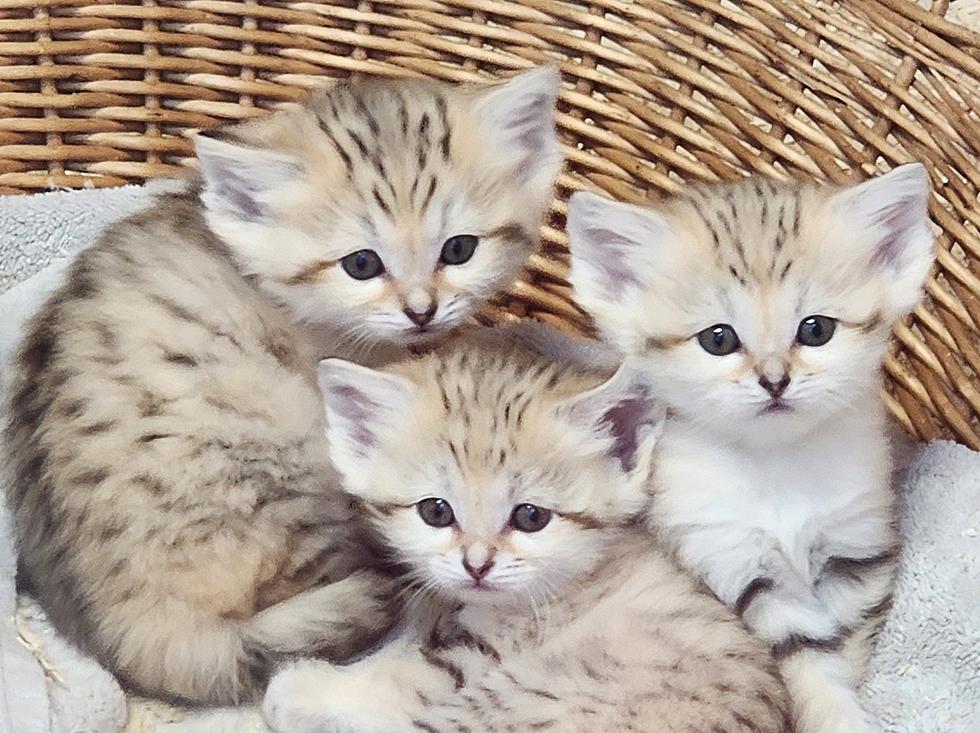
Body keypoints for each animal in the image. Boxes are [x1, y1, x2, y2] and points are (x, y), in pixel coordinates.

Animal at [258, 346, 788, 732]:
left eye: (531, 517)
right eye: (436, 511)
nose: (476, 565)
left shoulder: (474, 660)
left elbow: (407, 677)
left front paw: (305, 689)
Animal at [568, 166, 936, 732]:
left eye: (816, 329)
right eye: (718, 339)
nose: (775, 380)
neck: (775, 464)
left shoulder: (854, 553)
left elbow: (845, 649)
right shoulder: (735, 563)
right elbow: (804, 656)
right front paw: (835, 715)